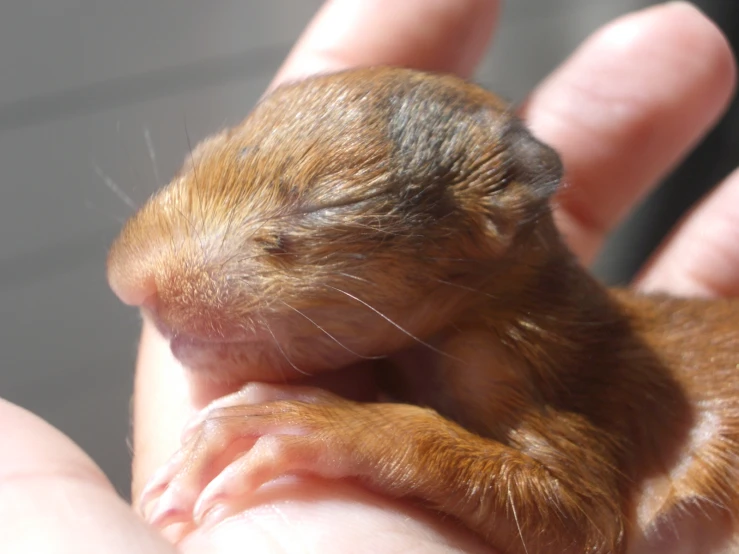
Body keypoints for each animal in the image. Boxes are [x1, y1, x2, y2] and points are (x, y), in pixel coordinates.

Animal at [107, 68, 739, 552]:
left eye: (336, 201)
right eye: (199, 152)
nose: (129, 283)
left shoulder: (536, 367)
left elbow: (586, 516)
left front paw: (313, 420)